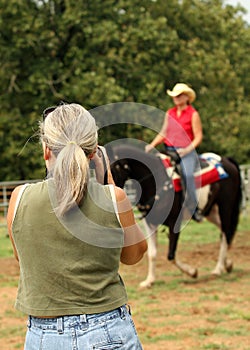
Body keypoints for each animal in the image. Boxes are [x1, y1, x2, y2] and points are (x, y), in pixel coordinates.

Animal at [107, 142, 242, 288]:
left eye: (111, 168)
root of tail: (226, 160)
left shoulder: (174, 223)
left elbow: (171, 255)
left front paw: (192, 272)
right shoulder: (150, 223)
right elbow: (152, 254)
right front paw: (149, 281)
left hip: (225, 207)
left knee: (225, 234)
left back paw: (218, 269)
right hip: (211, 212)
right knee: (224, 232)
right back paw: (227, 264)